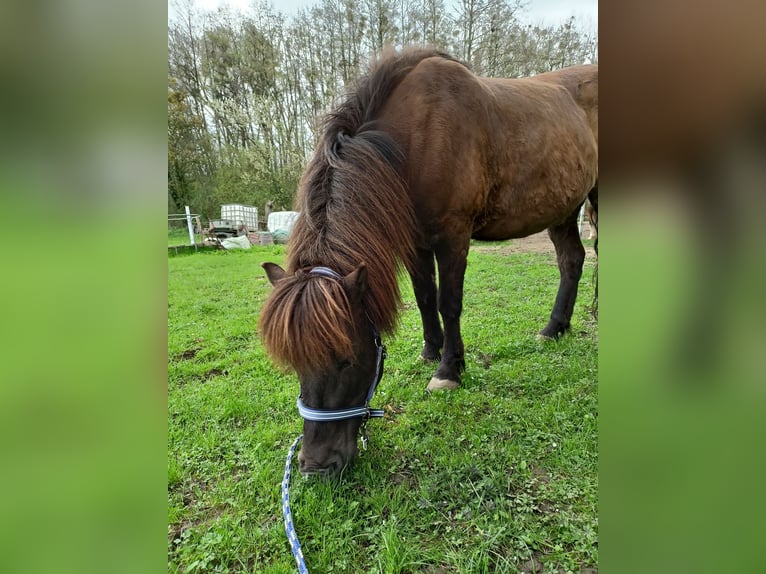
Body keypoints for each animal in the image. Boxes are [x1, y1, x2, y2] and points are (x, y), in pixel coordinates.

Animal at [260, 47, 596, 474]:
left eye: (347, 360)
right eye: (294, 364)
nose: (316, 466)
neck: (417, 136)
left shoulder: (453, 235)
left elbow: (448, 303)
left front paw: (449, 370)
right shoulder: (415, 243)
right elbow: (424, 299)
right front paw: (430, 351)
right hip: (564, 209)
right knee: (572, 261)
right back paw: (554, 328)